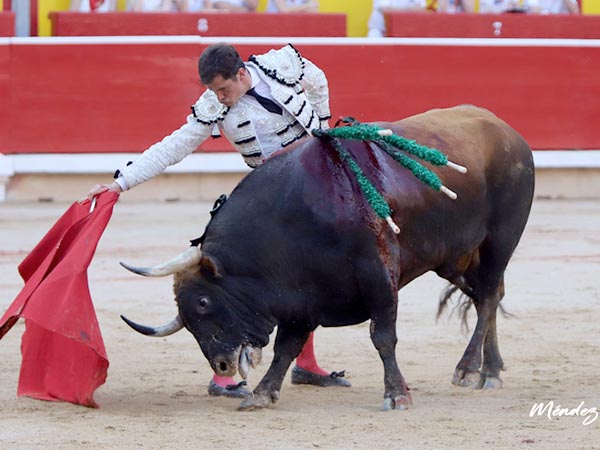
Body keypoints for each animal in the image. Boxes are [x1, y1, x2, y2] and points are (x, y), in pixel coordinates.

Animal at [118, 106, 536, 412]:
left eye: (203, 302)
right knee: (486, 298)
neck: (300, 215)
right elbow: (286, 348)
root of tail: (507, 131)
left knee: (487, 298)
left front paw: (396, 394)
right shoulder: (300, 297)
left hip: (500, 241)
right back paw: (490, 370)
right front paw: (262, 393)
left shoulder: (379, 276)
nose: (221, 365)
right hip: (452, 257)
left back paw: (467, 369)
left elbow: (382, 336)